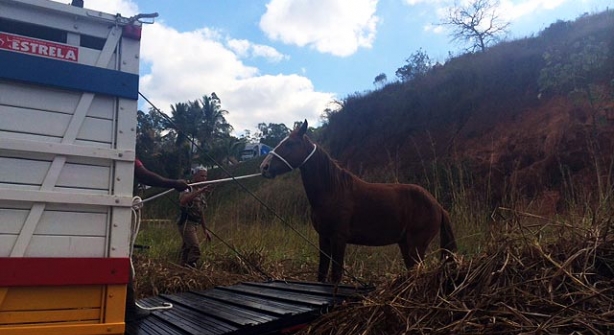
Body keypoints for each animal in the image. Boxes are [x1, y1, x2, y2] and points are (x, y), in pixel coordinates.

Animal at [260, 121, 458, 284]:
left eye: (290, 143)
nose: (264, 167)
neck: (332, 191)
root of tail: (438, 207)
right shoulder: (324, 238)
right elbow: (322, 274)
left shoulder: (339, 239)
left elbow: (336, 275)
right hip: (405, 245)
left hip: (416, 246)